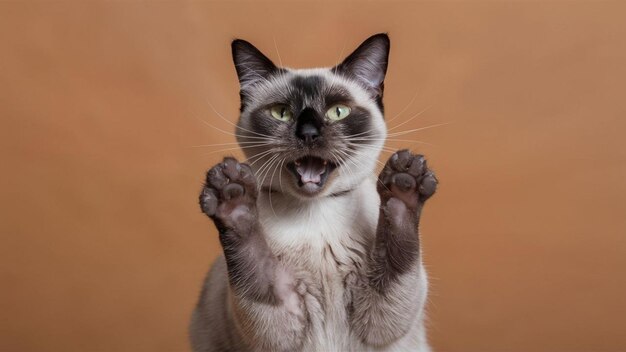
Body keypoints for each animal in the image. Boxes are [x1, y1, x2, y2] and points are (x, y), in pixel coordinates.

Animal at [188, 33, 436, 352]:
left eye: (338, 112)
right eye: (281, 113)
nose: (308, 134)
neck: (316, 216)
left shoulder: (381, 314)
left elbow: (397, 253)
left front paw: (404, 183)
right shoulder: (277, 322)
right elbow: (256, 269)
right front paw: (233, 200)